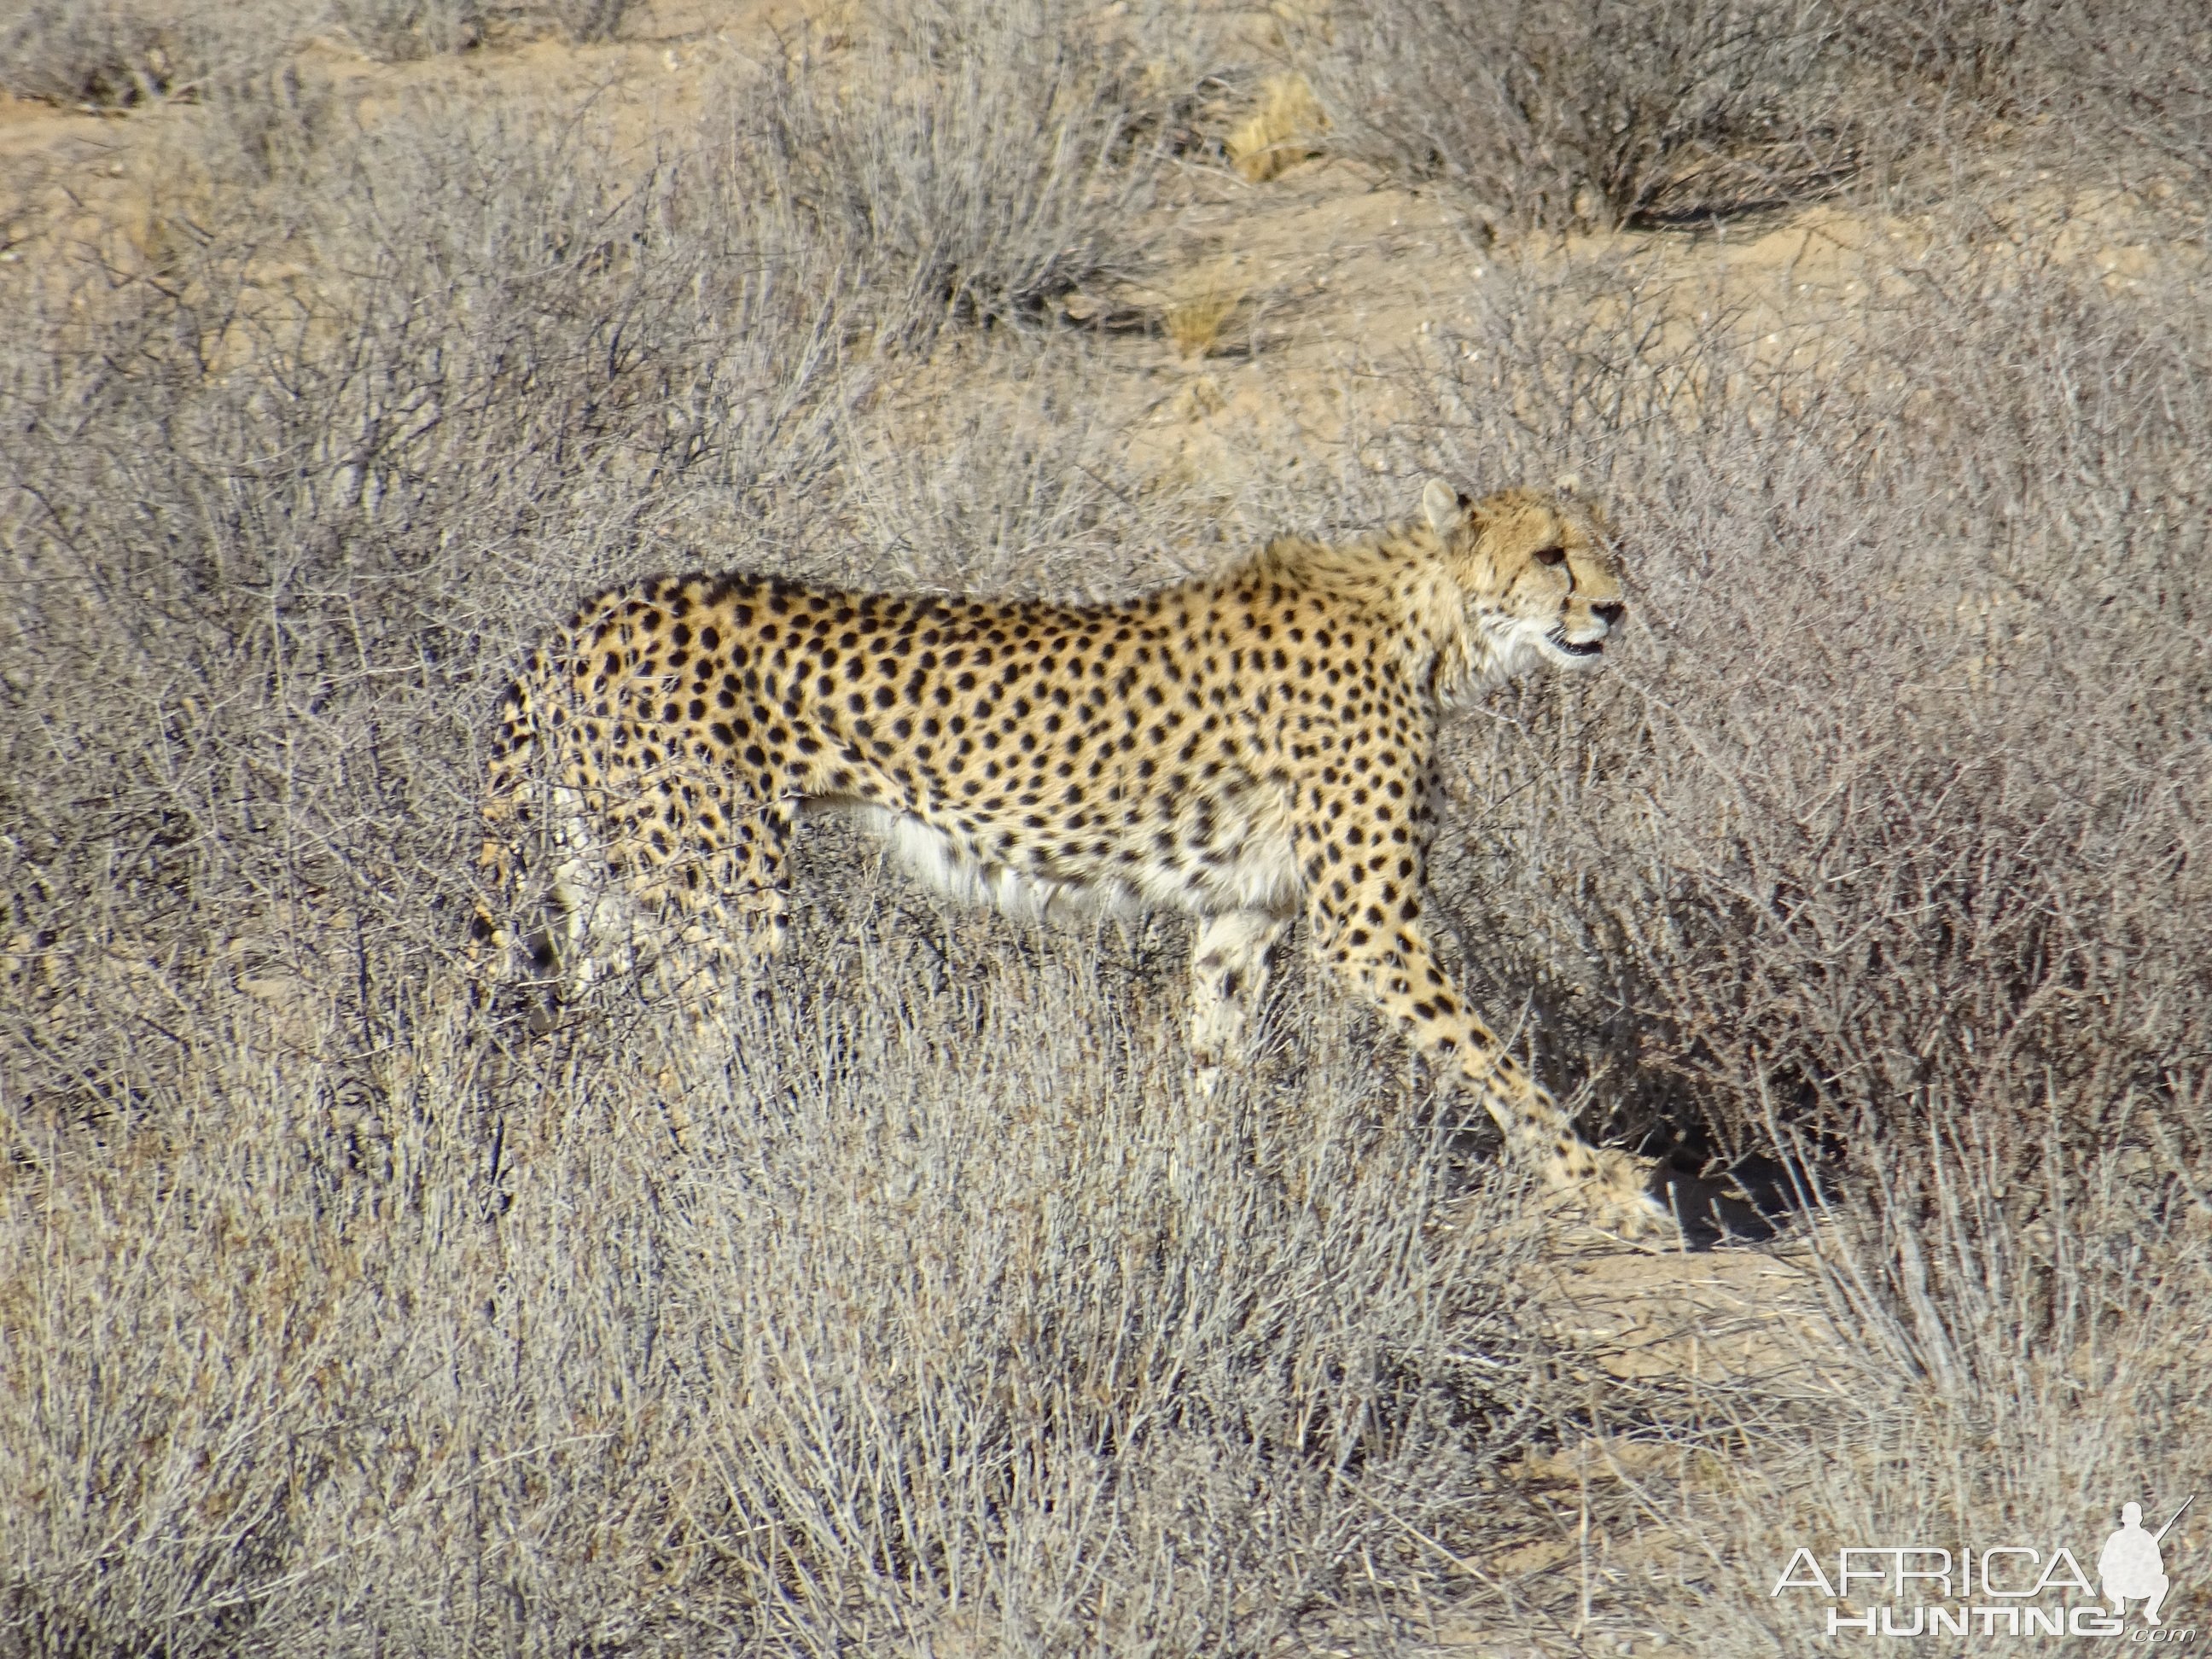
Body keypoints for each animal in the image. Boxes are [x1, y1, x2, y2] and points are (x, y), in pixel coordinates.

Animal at [480, 480, 1663, 1238]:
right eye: (1552, 553)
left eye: (1610, 547)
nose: (1615, 608)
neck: (1431, 622)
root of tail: (591, 608)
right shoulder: (1372, 930)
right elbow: (1492, 1061)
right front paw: (1606, 1186)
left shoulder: (1245, 913)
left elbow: (1214, 1060)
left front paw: (1195, 1199)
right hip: (721, 896)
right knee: (663, 1071)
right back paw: (712, 1194)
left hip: (609, 886)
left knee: (582, 1054)